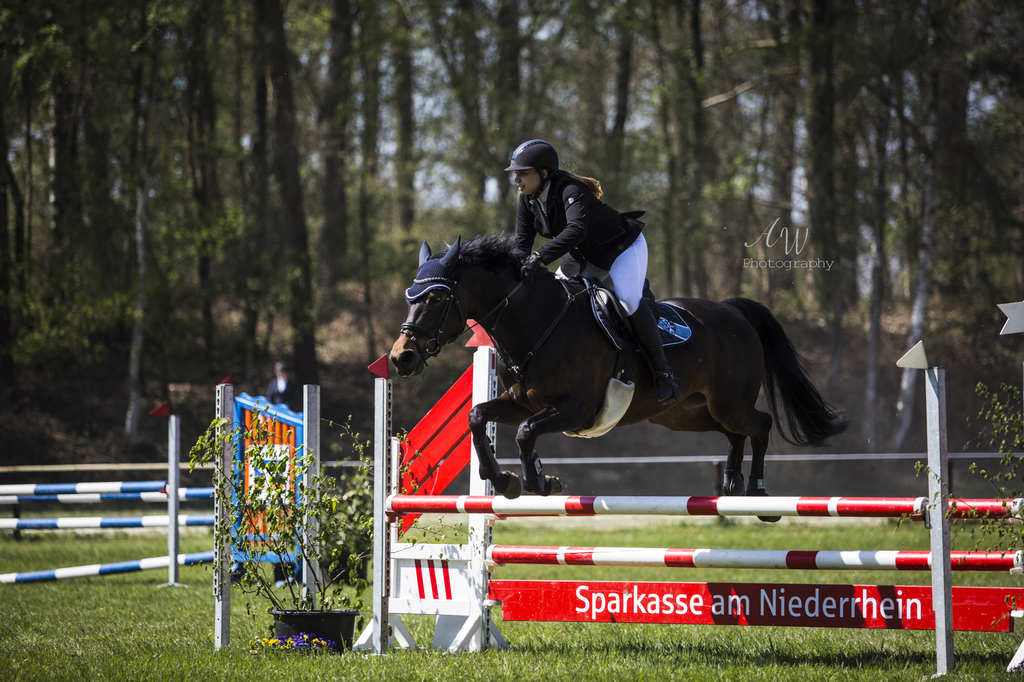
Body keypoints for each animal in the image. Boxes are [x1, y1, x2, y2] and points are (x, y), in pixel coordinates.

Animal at [390, 234, 847, 521]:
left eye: (436, 296)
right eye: (410, 294)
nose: (401, 357)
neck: (537, 323)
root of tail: (734, 311)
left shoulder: (576, 409)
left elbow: (524, 432)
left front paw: (538, 480)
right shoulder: (522, 401)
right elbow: (478, 416)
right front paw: (504, 480)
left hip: (727, 403)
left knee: (760, 424)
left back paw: (759, 494)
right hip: (686, 413)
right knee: (736, 434)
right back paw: (732, 487)